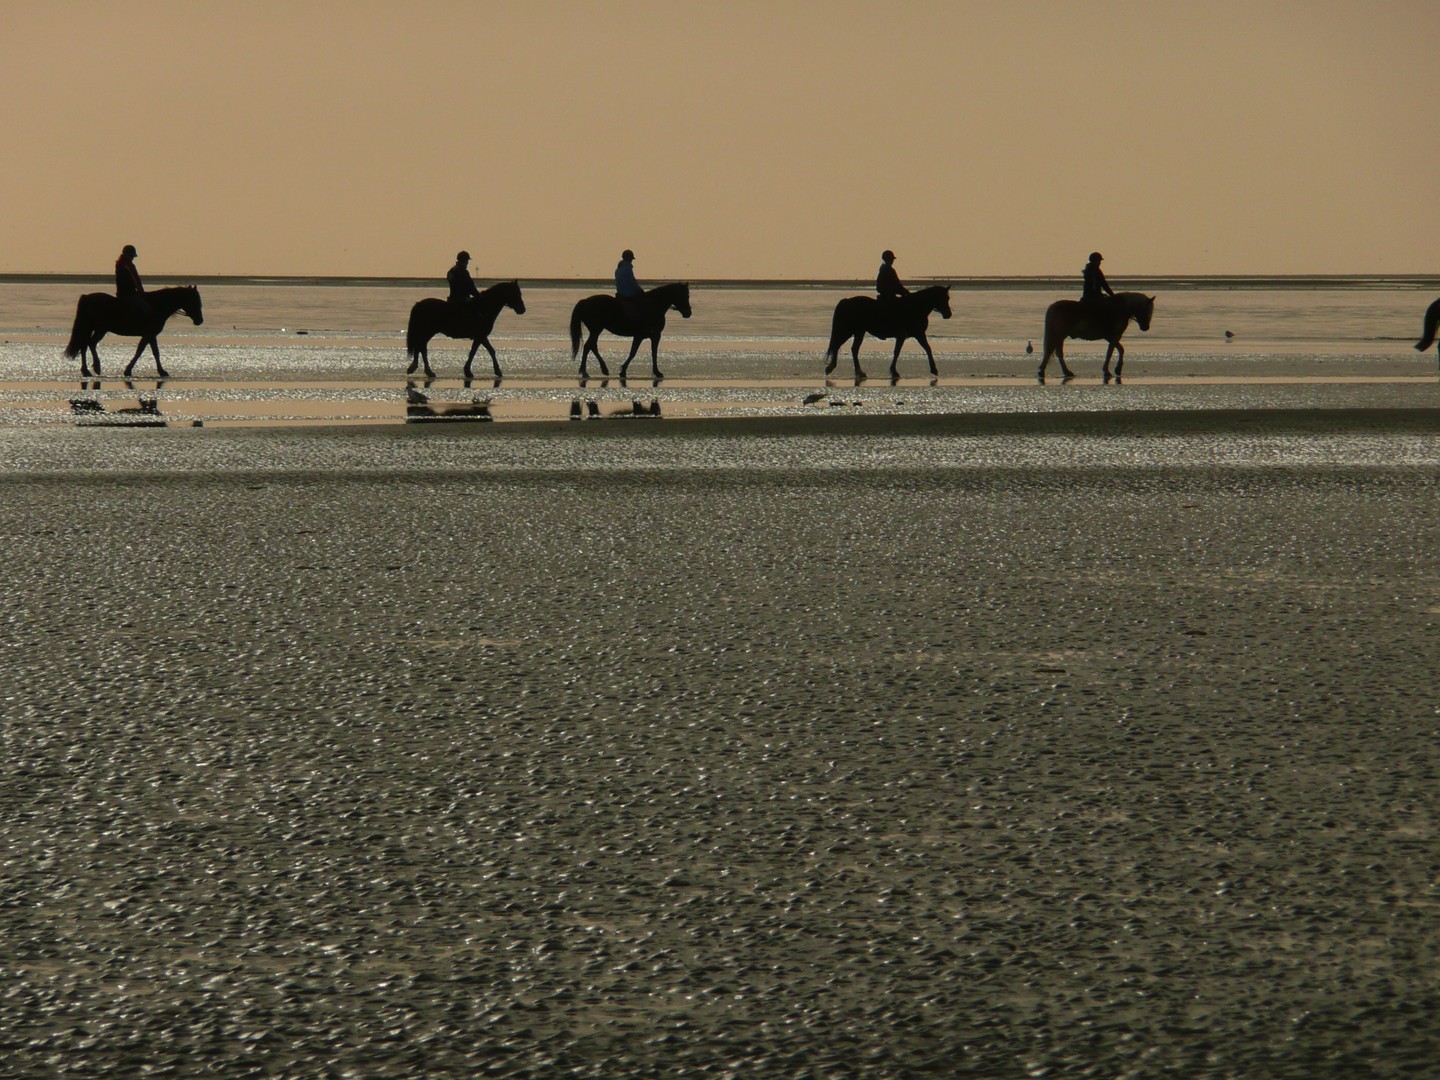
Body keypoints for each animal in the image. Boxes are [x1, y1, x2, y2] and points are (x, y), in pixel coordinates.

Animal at [63, 288, 204, 380]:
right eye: (194, 300)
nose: (200, 321)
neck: (157, 305)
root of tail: (86, 297)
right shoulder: (149, 334)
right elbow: (146, 352)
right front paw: (130, 370)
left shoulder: (150, 335)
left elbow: (149, 351)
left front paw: (159, 371)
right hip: (94, 328)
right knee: (86, 344)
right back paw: (90, 369)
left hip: (98, 329)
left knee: (88, 344)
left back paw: (91, 369)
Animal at [823, 285, 956, 383]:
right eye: (944, 298)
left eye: (948, 298)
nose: (948, 314)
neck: (915, 307)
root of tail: (846, 301)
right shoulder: (905, 335)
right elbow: (897, 352)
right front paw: (894, 371)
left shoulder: (918, 334)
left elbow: (927, 348)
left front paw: (934, 369)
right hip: (848, 330)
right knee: (837, 345)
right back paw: (831, 367)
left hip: (859, 332)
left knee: (853, 349)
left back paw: (859, 372)